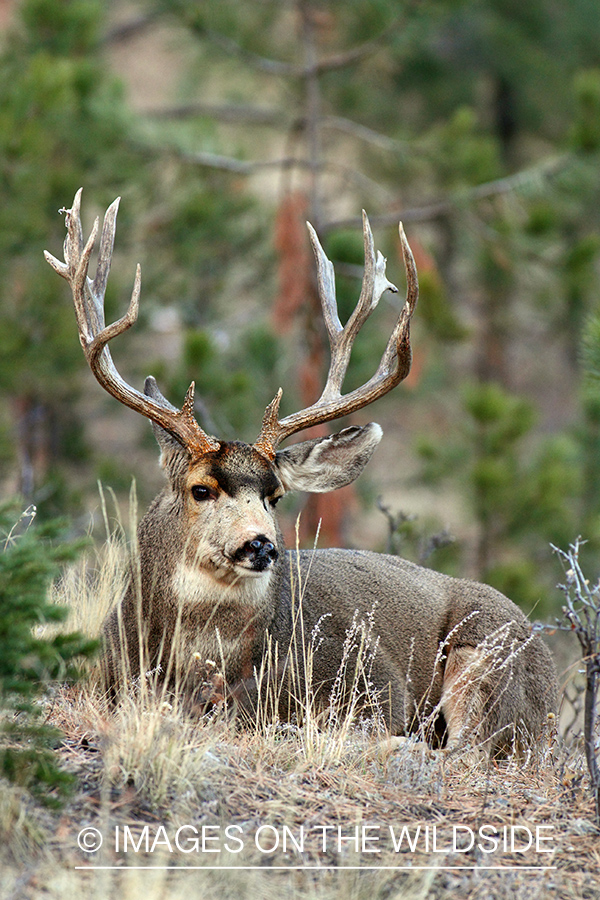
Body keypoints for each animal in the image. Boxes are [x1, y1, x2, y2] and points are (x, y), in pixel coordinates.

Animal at [46, 189, 557, 758]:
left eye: (275, 496)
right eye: (201, 489)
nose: (261, 545)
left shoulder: (373, 676)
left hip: (490, 660)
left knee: (467, 750)